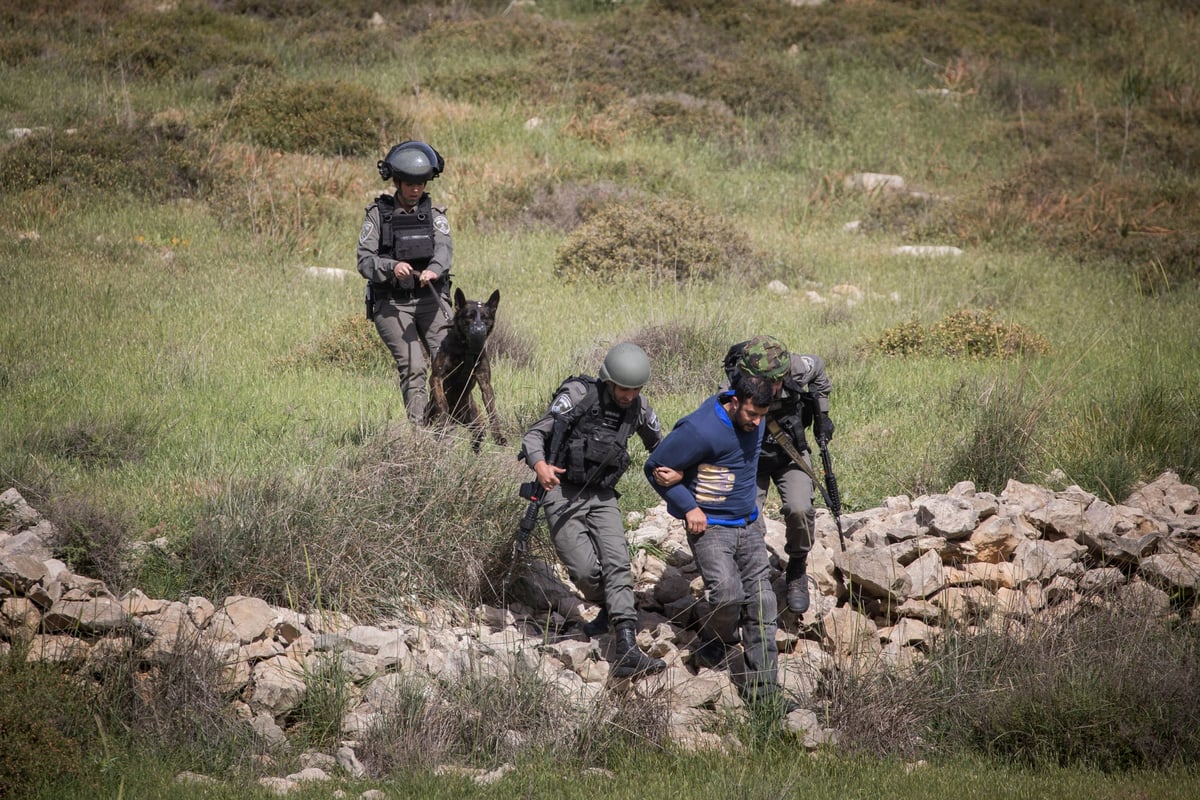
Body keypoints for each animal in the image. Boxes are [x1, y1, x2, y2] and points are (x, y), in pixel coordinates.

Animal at [427, 287, 506, 450]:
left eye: (485, 317)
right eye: (469, 316)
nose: (479, 330)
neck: (466, 350)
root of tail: (455, 416)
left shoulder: (485, 383)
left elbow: (492, 411)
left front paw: (498, 436)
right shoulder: (437, 377)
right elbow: (442, 402)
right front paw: (443, 417)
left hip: (475, 422)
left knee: (478, 436)